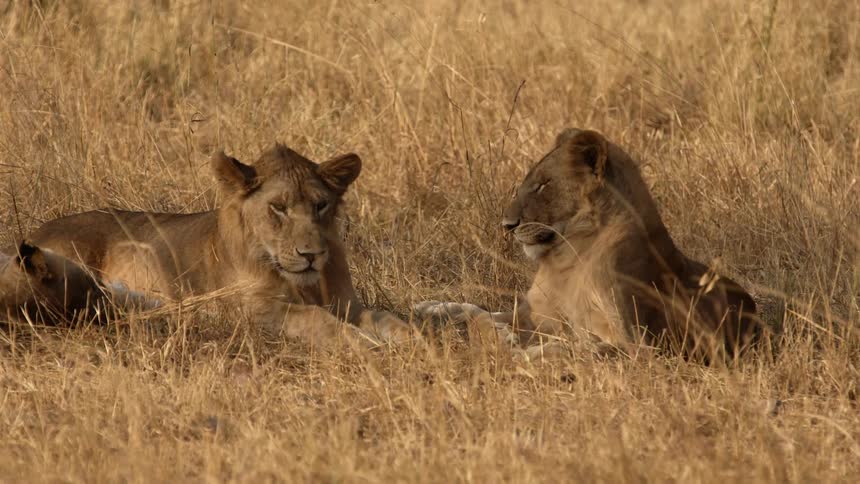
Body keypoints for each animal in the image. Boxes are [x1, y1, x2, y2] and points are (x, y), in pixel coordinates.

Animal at [25, 144, 416, 347]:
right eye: (278, 207)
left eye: (321, 205)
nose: (311, 255)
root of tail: (34, 234)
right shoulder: (253, 311)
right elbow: (317, 319)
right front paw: (365, 343)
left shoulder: (348, 304)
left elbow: (384, 316)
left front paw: (414, 339)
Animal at [417, 128, 760, 361]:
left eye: (543, 185)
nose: (507, 225)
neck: (567, 262)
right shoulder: (535, 313)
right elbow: (481, 314)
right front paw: (446, 311)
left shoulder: (642, 346)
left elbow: (574, 348)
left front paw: (516, 350)